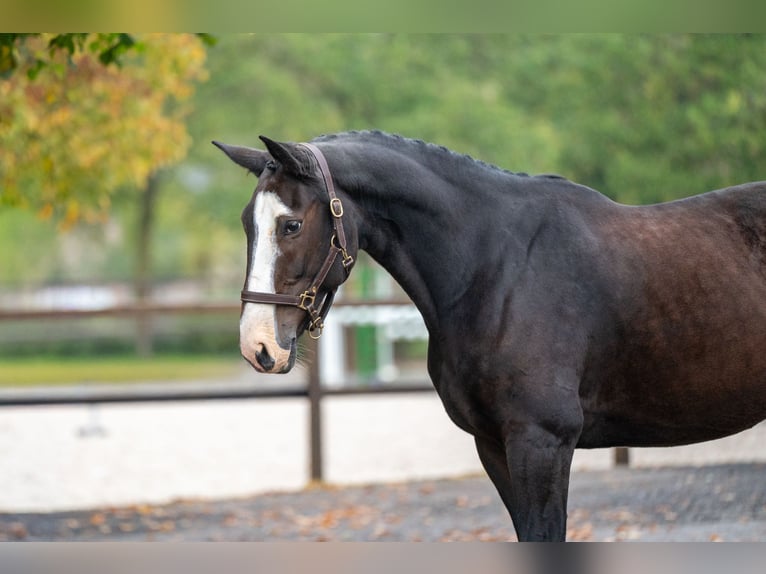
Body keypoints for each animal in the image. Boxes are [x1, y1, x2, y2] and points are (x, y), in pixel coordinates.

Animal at [213, 130, 766, 541]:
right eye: (247, 224)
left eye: (290, 225)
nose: (258, 346)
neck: (496, 268)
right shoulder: (493, 444)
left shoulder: (541, 442)